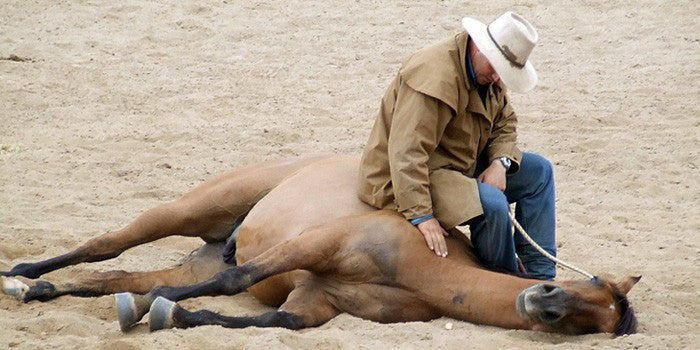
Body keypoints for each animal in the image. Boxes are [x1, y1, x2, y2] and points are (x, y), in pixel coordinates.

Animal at [0, 154, 640, 334]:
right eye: (589, 284)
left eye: (594, 322)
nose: (543, 301)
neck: (426, 267)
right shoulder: (315, 246)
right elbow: (237, 279)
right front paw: (154, 307)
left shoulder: (319, 301)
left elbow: (270, 321)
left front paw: (171, 314)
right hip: (188, 210)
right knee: (106, 245)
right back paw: (22, 274)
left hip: (189, 258)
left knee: (109, 278)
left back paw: (44, 291)